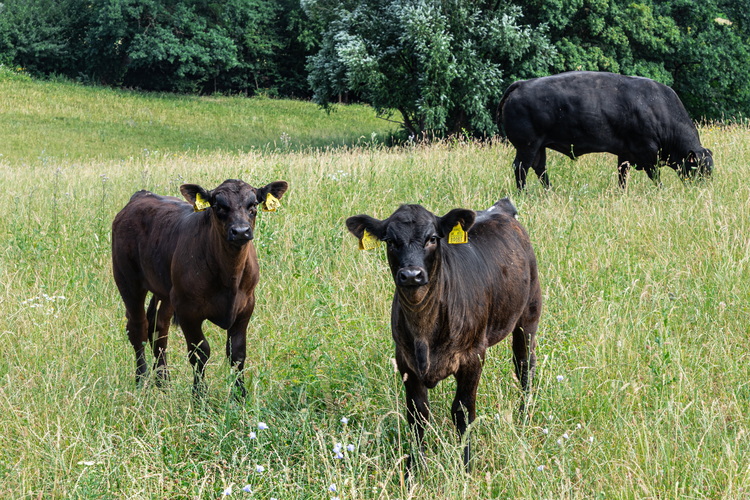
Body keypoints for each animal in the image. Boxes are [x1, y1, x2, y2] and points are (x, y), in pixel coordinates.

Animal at [113, 178, 290, 396]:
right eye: (218, 206)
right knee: (138, 327)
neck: (229, 277)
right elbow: (199, 353)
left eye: (254, 205)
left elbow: (237, 352)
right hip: (128, 281)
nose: (241, 231)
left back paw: (163, 383)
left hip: (166, 291)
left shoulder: (246, 305)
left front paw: (240, 396)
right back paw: (141, 381)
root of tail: (141, 195)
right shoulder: (188, 311)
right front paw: (199, 396)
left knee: (159, 326)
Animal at [346, 197, 540, 470]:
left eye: (432, 238)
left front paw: (465, 466)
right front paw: (415, 468)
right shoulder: (405, 361)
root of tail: (500, 208)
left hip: (529, 315)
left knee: (524, 367)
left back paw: (523, 418)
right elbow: (417, 414)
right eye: (390, 241)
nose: (412, 275)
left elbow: (462, 411)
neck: (424, 332)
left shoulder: (472, 356)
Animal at [500, 70, 716, 188]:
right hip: (528, 145)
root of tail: (522, 84)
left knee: (540, 168)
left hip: (539, 147)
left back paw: (549, 192)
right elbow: (655, 177)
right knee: (521, 168)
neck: (657, 107)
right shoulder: (648, 153)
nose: (703, 191)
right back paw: (524, 193)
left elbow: (622, 177)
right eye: (699, 169)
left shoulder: (625, 154)